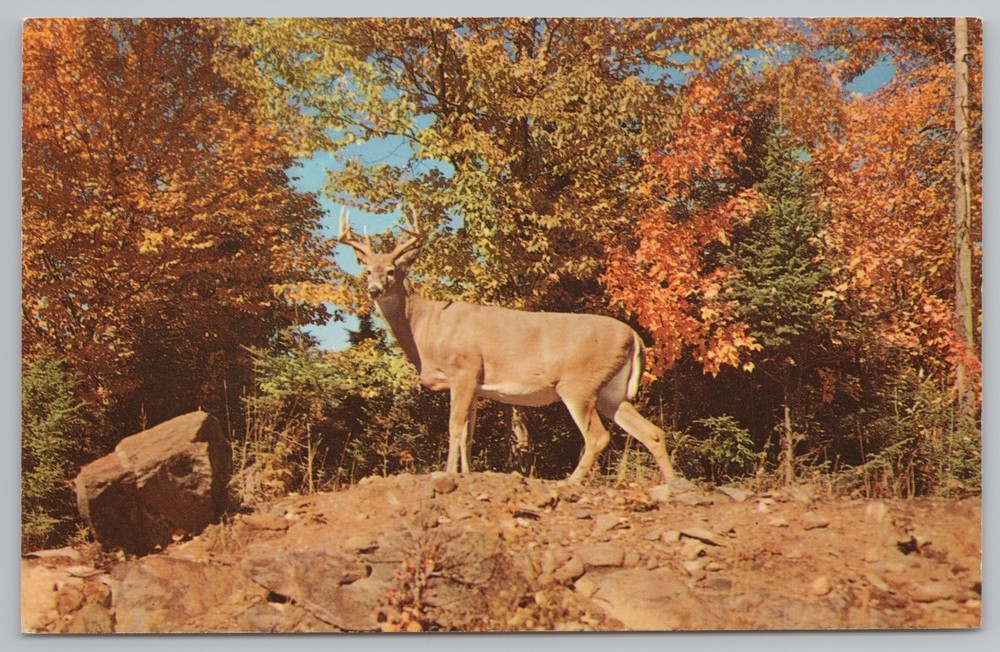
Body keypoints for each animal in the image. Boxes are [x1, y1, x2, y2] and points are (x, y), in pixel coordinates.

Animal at [337, 206, 676, 485]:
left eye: (392, 270)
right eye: (367, 270)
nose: (374, 289)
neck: (425, 330)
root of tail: (633, 336)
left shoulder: (464, 370)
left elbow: (454, 427)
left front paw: (448, 474)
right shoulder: (476, 385)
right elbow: (469, 434)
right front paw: (467, 473)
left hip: (578, 384)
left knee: (598, 437)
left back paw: (570, 482)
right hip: (609, 391)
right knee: (652, 432)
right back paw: (673, 484)